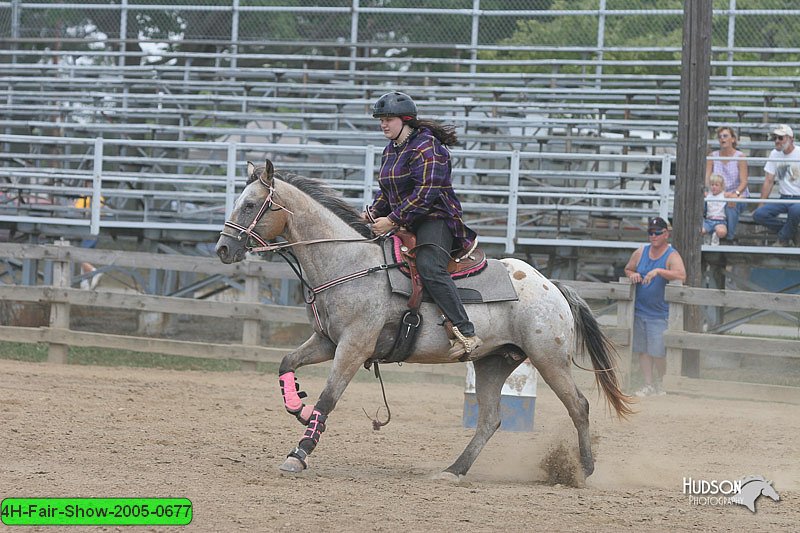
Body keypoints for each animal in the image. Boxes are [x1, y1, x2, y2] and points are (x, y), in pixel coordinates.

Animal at [216, 160, 636, 480]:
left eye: (250, 204)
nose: (222, 248)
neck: (351, 263)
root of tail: (551, 286)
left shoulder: (353, 346)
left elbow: (329, 397)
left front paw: (299, 453)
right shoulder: (326, 341)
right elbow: (286, 364)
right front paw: (298, 407)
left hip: (549, 359)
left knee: (579, 406)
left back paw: (583, 470)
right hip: (493, 362)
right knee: (490, 420)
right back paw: (454, 470)